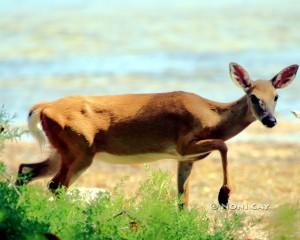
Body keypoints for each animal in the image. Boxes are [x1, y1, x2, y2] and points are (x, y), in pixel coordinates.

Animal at [15, 62, 298, 208]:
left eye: (276, 96)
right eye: (254, 97)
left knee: (25, 169)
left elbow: (182, 198)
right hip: (80, 148)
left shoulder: (185, 159)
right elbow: (224, 146)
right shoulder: (184, 144)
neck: (212, 116)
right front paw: (224, 195)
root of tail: (44, 107)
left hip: (61, 148)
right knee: (55, 185)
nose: (271, 120)